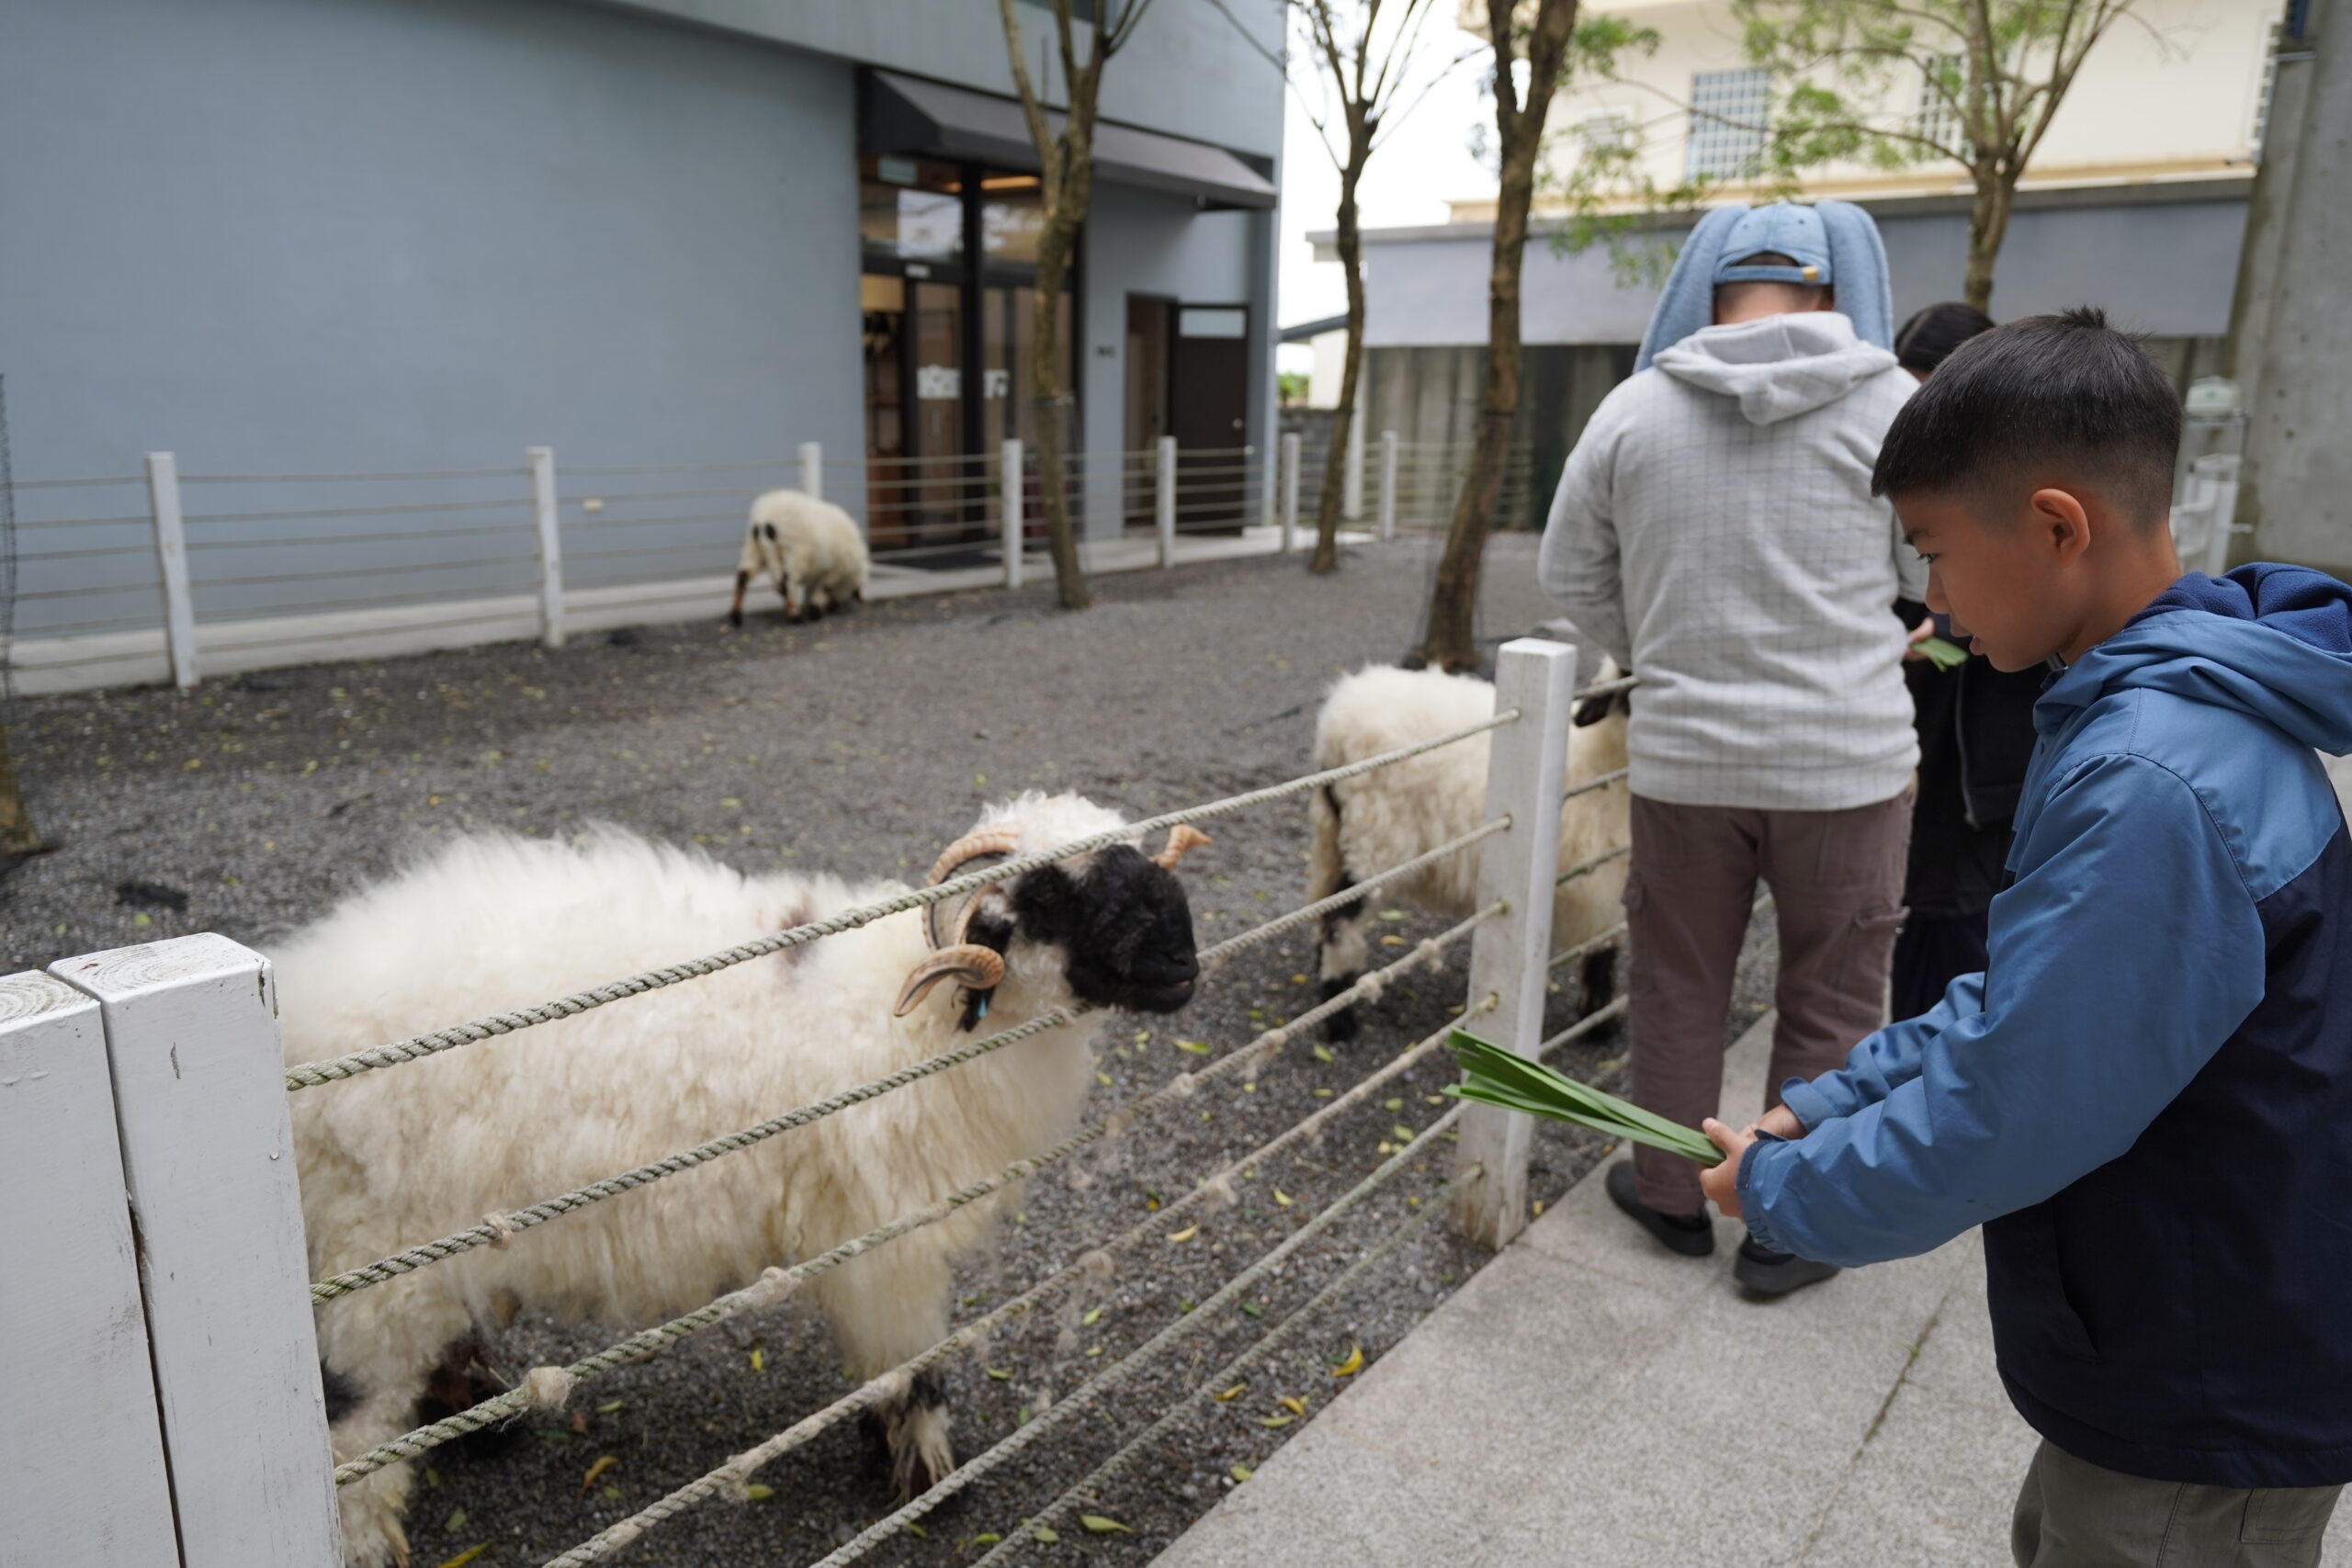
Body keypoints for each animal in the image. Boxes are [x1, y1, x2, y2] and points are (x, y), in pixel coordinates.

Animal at [277, 799, 1204, 1568]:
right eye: (1046, 891)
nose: (1182, 959)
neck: (912, 1031)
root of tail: (298, 1004)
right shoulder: (888, 1243)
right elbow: (910, 1367)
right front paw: (934, 1481)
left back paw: (481, 1407)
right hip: (376, 1249)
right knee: (353, 1423)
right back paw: (378, 1530)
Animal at [724, 486, 875, 629]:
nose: (834, 608)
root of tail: (764, 519)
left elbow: (811, 588)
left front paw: (811, 606)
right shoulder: (833, 571)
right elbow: (823, 588)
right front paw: (815, 611)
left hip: (754, 548)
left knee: (744, 577)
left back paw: (736, 616)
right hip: (794, 553)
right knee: (786, 583)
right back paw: (795, 616)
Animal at [1307, 658, 1636, 1043]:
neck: (1605, 760)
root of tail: (1337, 720)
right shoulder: (1600, 886)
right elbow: (1601, 955)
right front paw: (1599, 1025)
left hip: (1334, 837)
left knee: (1323, 904)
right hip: (1375, 842)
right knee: (1340, 921)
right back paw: (1339, 1019)